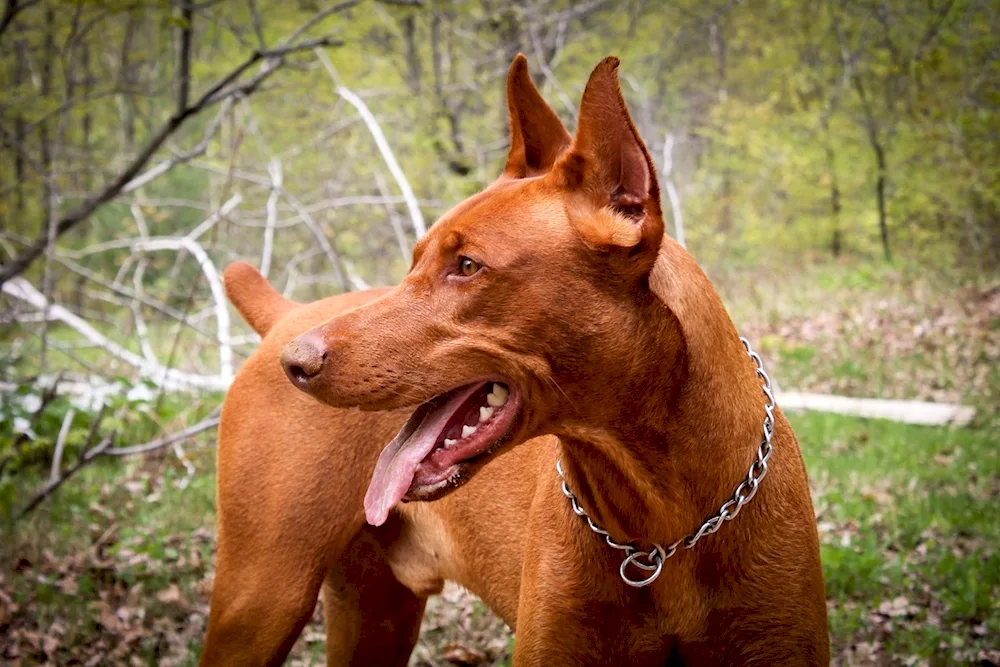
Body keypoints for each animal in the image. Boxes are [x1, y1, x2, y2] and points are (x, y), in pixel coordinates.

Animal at [203, 54, 828, 664]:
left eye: (467, 266)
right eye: (415, 260)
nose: (296, 363)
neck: (662, 531)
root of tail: (285, 317)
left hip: (373, 613)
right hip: (261, 600)